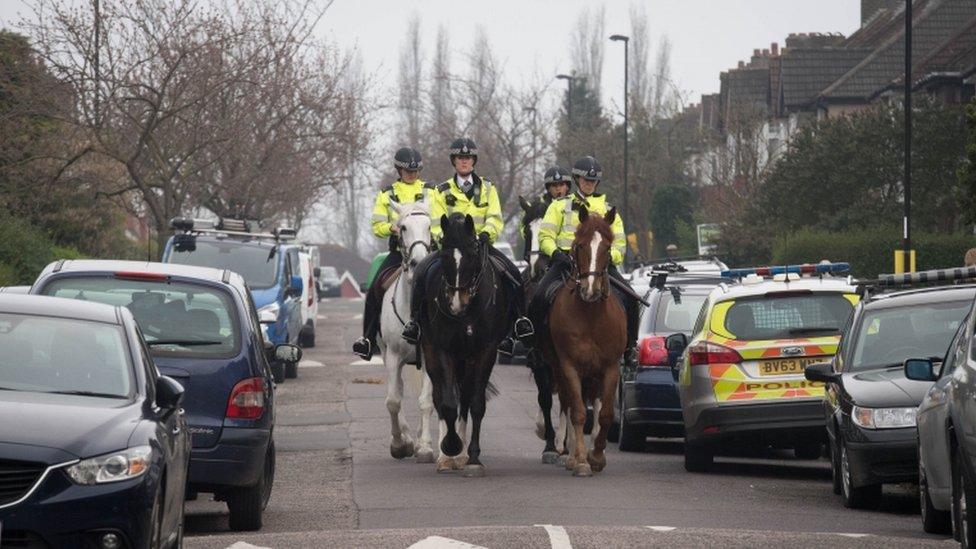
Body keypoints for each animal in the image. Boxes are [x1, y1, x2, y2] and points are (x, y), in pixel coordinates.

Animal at [418, 213, 516, 476]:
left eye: (472, 253)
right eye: (444, 254)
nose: (456, 302)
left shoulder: (485, 351)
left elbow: (475, 403)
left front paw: (472, 458)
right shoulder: (444, 350)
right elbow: (448, 404)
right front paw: (450, 447)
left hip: (467, 359)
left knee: (465, 398)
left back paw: (461, 456)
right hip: (435, 354)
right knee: (441, 398)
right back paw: (447, 455)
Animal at [540, 204, 624, 476]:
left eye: (607, 247)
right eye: (579, 246)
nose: (590, 290)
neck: (590, 316)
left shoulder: (611, 367)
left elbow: (606, 414)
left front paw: (596, 456)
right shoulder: (569, 365)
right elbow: (576, 411)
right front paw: (580, 461)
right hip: (558, 367)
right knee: (568, 403)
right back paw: (569, 454)